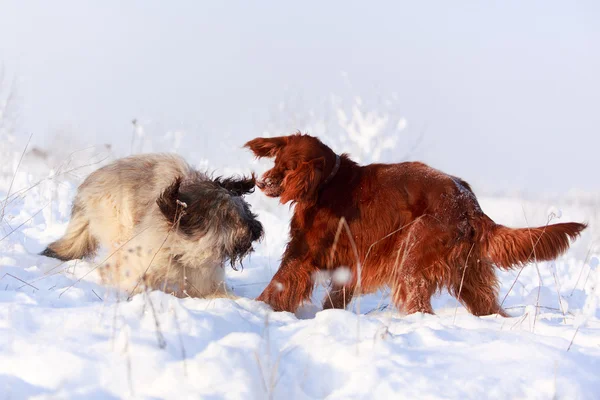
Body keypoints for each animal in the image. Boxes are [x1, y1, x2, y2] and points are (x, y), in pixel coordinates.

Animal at [245, 134, 584, 316]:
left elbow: (277, 285)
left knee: (419, 301)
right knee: (488, 305)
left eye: (289, 168)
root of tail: (471, 205)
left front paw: (257, 308)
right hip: (468, 273)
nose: (262, 182)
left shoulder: (302, 254)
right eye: (277, 162)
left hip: (413, 257)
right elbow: (334, 298)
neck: (326, 183)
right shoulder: (350, 265)